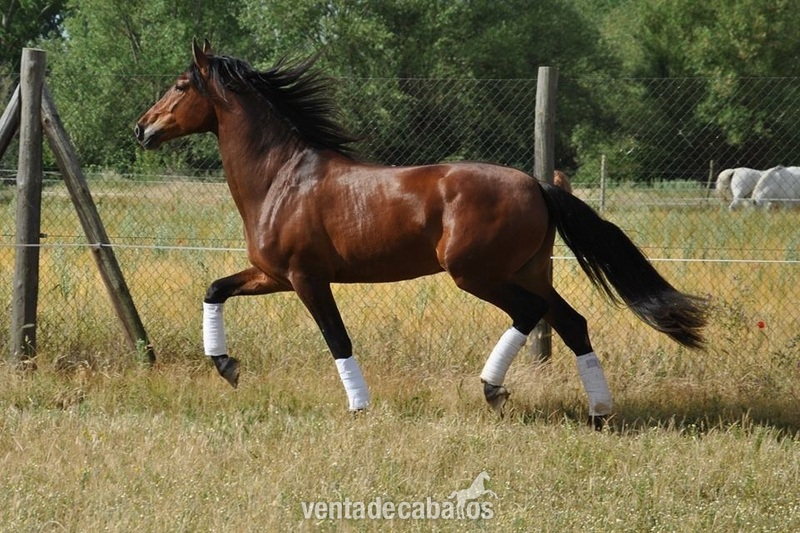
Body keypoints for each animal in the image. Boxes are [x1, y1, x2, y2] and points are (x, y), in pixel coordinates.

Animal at [135, 40, 706, 426]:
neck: (281, 177)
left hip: (477, 274)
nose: (141, 128)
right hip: (530, 270)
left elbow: (336, 337)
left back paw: (494, 390)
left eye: (181, 85)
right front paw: (225, 365)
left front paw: (359, 408)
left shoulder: (305, 278)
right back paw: (598, 411)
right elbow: (215, 288)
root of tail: (538, 184)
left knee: (531, 313)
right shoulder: (271, 275)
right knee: (571, 322)